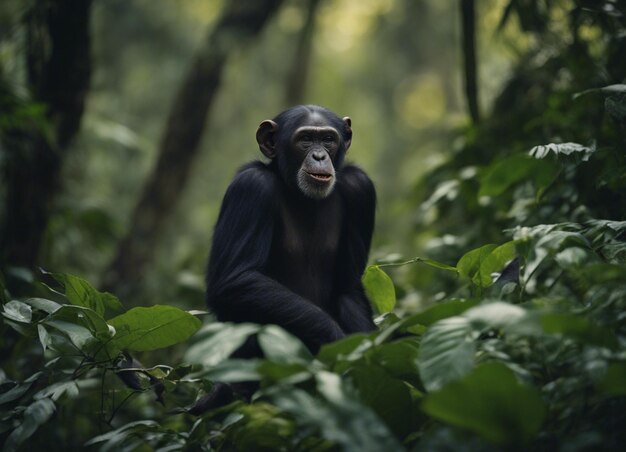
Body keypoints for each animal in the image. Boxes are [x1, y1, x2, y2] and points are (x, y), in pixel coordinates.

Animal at [205, 104, 376, 354]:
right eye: (305, 139)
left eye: (328, 139)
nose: (319, 156)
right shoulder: (250, 186)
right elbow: (235, 278)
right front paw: (336, 340)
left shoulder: (361, 188)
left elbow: (348, 288)